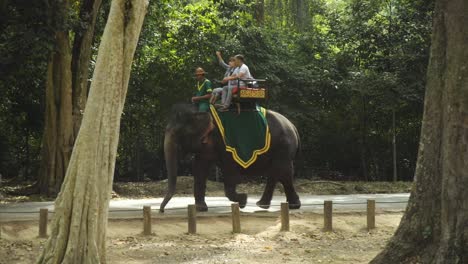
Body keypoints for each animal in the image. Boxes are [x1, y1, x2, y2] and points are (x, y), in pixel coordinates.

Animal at [159, 103, 302, 212]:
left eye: (178, 134)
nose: (161, 211)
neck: (200, 111)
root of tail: (293, 127)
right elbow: (200, 168)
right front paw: (201, 208)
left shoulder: (227, 144)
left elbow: (229, 171)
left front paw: (243, 200)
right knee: (279, 173)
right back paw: (271, 205)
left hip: (283, 146)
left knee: (281, 171)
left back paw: (278, 205)